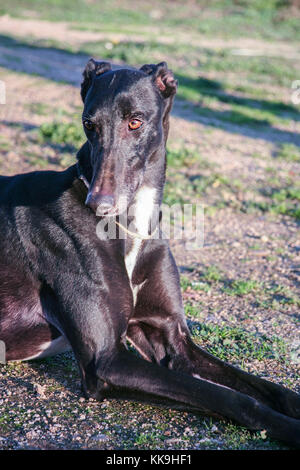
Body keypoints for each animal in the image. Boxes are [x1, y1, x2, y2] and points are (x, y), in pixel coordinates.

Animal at [0, 60, 300, 446]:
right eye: (89, 124)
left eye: (135, 121)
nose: (98, 203)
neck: (131, 227)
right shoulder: (107, 361)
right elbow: (235, 398)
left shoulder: (170, 340)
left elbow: (265, 387)